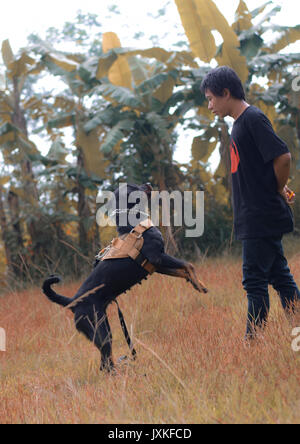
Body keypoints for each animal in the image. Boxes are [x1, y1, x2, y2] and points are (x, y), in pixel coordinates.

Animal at [42, 182, 207, 372]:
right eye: (133, 186)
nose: (148, 184)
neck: (133, 223)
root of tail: (73, 301)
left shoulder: (157, 265)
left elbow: (182, 269)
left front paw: (194, 282)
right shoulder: (158, 257)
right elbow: (188, 264)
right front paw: (200, 285)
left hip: (104, 328)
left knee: (105, 363)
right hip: (99, 331)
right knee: (105, 363)